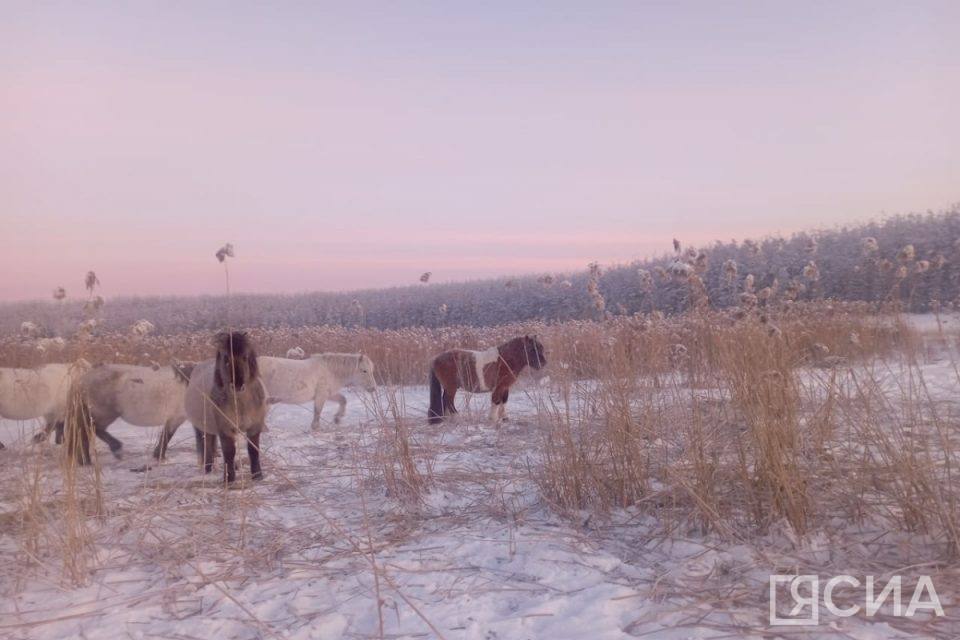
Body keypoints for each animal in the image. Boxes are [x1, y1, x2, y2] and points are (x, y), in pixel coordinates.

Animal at [185, 332, 268, 482]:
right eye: (226, 358)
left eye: (245, 357)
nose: (237, 385)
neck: (240, 404)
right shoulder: (225, 429)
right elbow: (229, 452)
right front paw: (229, 478)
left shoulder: (255, 427)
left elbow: (253, 450)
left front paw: (257, 475)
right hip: (203, 428)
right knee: (206, 447)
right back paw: (208, 469)